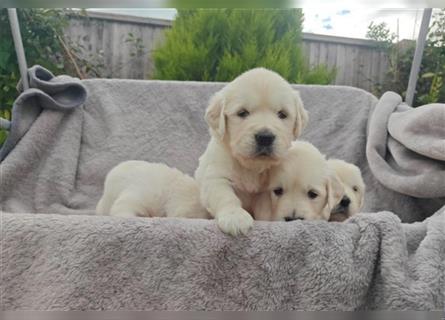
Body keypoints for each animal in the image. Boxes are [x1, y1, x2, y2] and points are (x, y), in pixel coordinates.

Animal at [196, 67, 306, 235]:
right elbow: (225, 195)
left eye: (282, 114)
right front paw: (235, 217)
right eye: (242, 113)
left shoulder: (265, 192)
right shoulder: (216, 176)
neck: (252, 166)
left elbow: (264, 208)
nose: (265, 137)